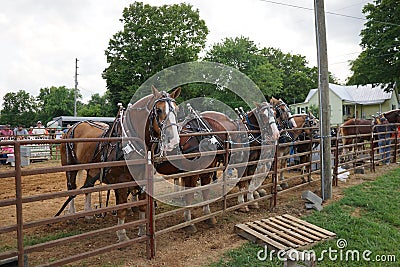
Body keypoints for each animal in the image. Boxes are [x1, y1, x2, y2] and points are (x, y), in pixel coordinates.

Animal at [57, 86, 180, 243]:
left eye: (176, 109)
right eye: (158, 110)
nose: (174, 140)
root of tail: (71, 128)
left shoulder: (142, 180)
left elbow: (142, 207)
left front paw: (142, 231)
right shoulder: (121, 182)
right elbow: (122, 209)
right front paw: (122, 235)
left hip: (91, 168)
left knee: (88, 187)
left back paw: (88, 213)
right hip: (70, 166)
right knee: (72, 188)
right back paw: (71, 215)